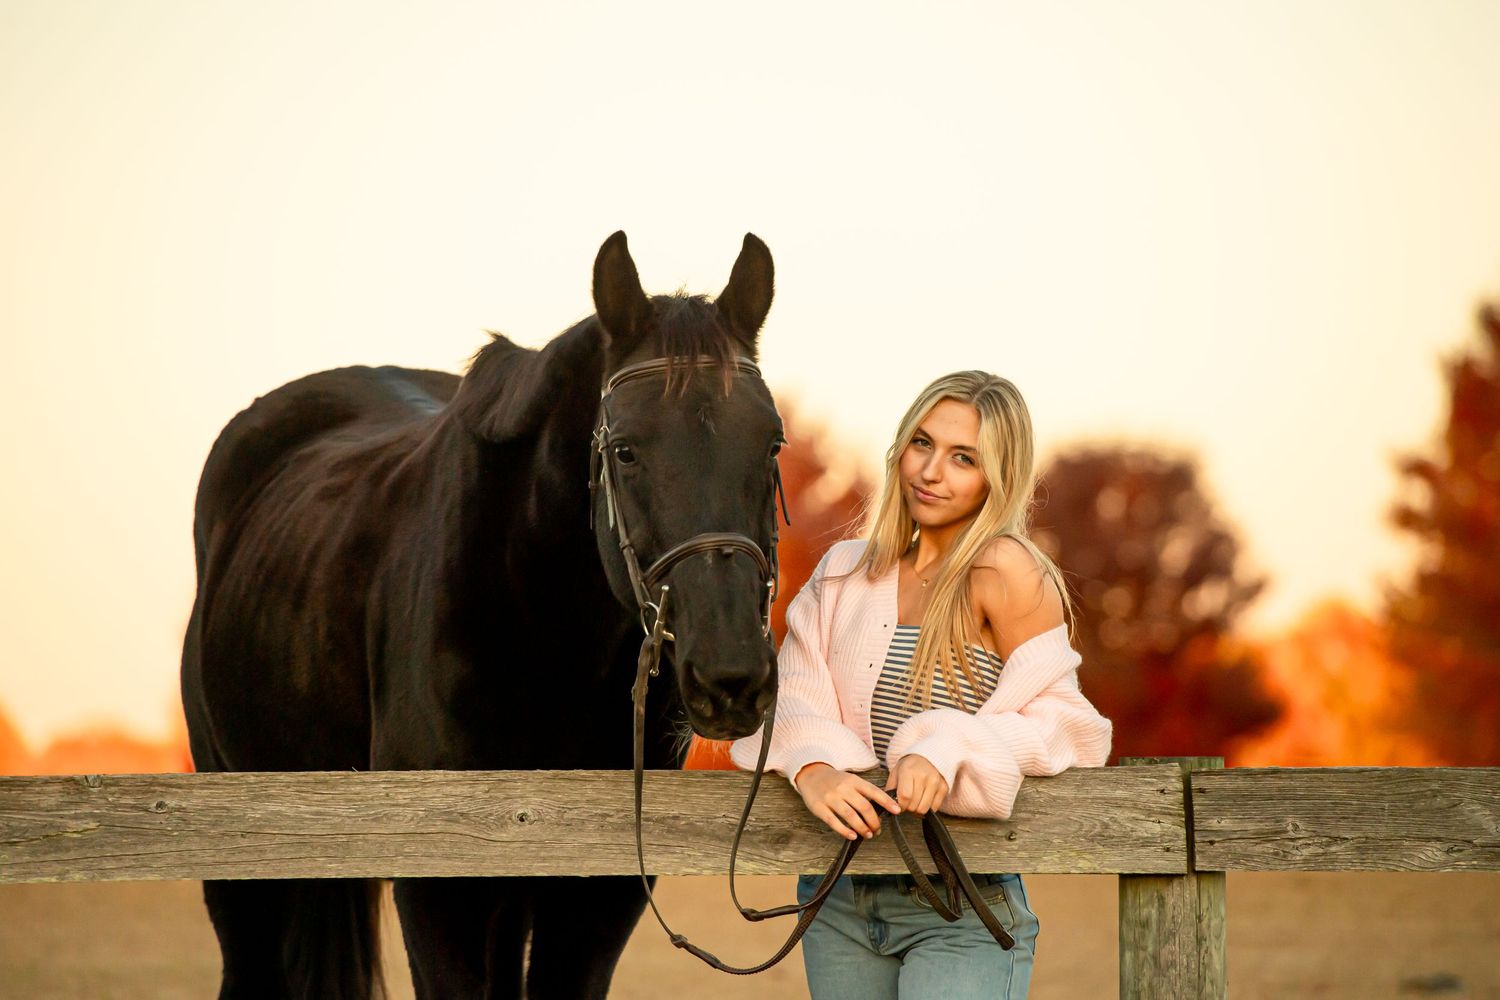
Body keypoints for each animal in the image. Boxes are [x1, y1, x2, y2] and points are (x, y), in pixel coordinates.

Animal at [180, 231, 786, 999]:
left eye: (772, 444)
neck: (543, 636)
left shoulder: (597, 897)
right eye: (625, 451)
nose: (731, 676)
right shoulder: (443, 891)